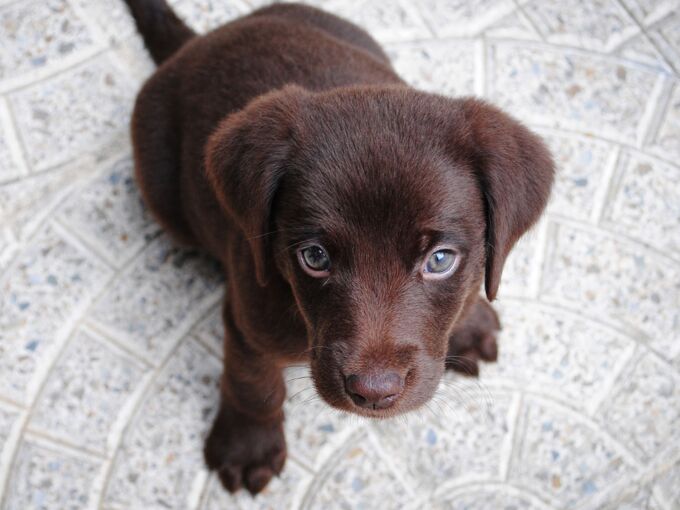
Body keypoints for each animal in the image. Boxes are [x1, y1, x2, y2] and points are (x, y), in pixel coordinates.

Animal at [125, 0, 556, 494]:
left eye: (440, 260)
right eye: (314, 257)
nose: (374, 392)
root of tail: (196, 43)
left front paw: (469, 321)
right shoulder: (248, 317)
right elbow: (253, 382)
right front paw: (248, 445)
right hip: (161, 188)